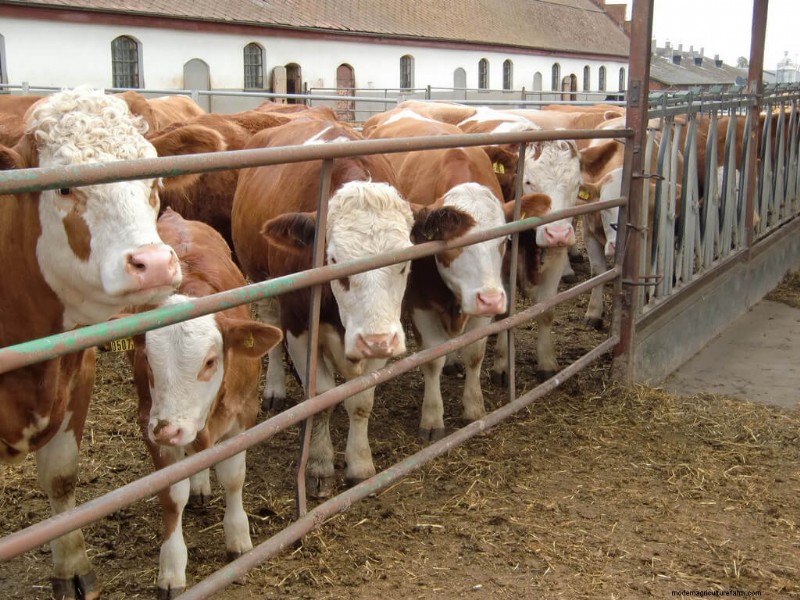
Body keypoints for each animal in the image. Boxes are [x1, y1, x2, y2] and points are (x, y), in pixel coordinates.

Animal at [0, 87, 185, 600]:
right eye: (64, 188)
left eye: (153, 179)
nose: (154, 263)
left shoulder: (75, 372)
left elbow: (61, 477)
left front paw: (72, 566)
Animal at [128, 208, 282, 599]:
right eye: (147, 360)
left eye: (210, 361)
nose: (168, 429)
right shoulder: (149, 422)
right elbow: (172, 495)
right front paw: (171, 567)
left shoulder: (243, 415)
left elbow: (232, 476)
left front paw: (238, 537)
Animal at [232, 117, 476, 497]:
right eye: (333, 260)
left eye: (405, 261)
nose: (375, 341)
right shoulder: (299, 326)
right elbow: (321, 398)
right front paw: (319, 464)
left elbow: (360, 401)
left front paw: (360, 464)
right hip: (259, 278)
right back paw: (275, 386)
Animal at [366, 114, 552, 439]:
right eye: (453, 245)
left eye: (503, 240)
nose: (491, 299)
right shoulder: (420, 303)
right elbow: (432, 359)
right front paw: (432, 418)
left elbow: (475, 352)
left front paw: (474, 407)